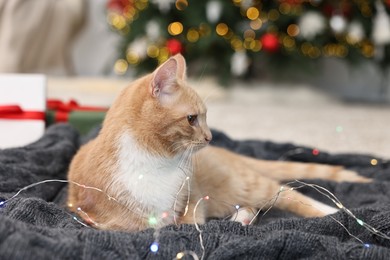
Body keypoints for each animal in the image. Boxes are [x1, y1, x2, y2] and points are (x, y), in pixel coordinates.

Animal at [68, 54, 372, 232]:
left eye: (205, 117)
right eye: (192, 119)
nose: (210, 137)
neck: (154, 160)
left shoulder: (190, 204)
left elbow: (185, 219)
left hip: (245, 184)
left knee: (287, 193)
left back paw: (332, 211)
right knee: (255, 204)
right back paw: (243, 218)